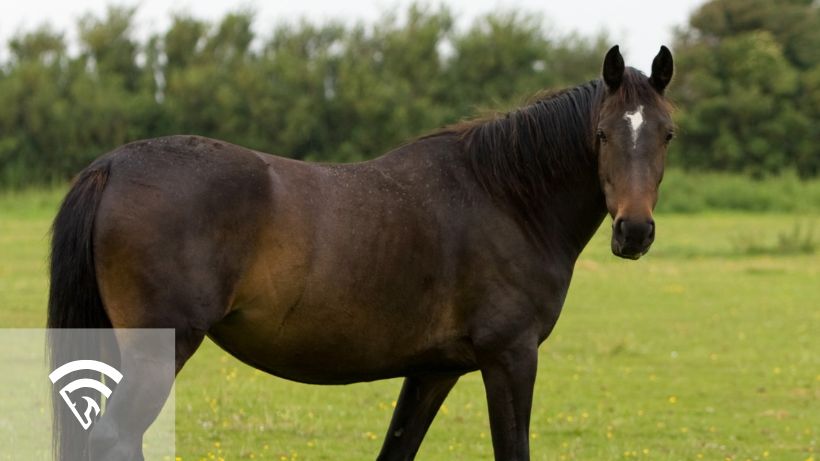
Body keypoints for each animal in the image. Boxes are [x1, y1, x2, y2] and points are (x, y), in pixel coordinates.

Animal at [48, 44, 672, 460]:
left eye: (666, 134)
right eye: (603, 135)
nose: (634, 232)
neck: (506, 197)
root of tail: (112, 166)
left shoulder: (433, 371)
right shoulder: (511, 357)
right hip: (160, 352)